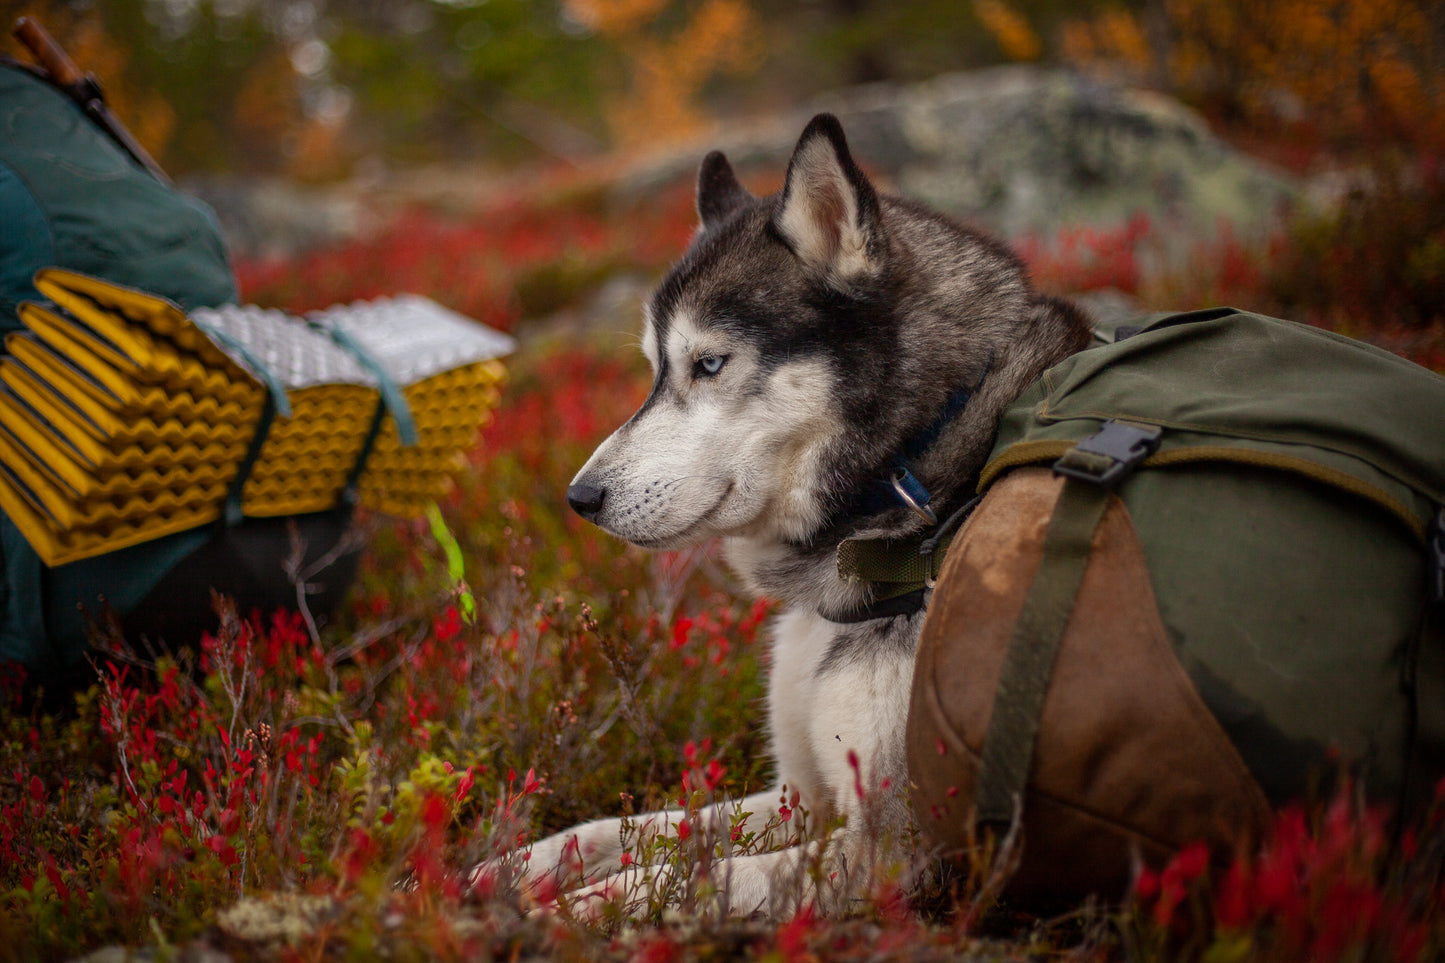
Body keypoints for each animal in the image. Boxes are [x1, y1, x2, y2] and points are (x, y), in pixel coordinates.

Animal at [514, 112, 1086, 913]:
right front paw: (500, 870)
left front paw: (568, 912)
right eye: (654, 368)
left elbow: (677, 879)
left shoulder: (888, 849)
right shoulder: (801, 795)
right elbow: (628, 829)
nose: (580, 498)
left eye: (709, 364)